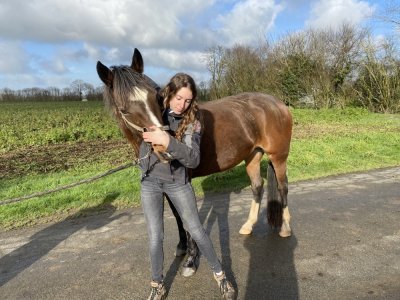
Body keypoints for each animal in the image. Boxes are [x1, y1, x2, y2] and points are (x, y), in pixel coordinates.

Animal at [95, 48, 292, 276]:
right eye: (124, 109)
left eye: (155, 96)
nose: (163, 148)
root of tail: (277, 103)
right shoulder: (168, 185)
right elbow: (177, 215)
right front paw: (182, 247)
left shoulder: (183, 182)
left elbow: (187, 219)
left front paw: (191, 259)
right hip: (252, 156)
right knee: (257, 187)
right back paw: (248, 225)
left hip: (278, 157)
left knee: (283, 187)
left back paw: (285, 228)